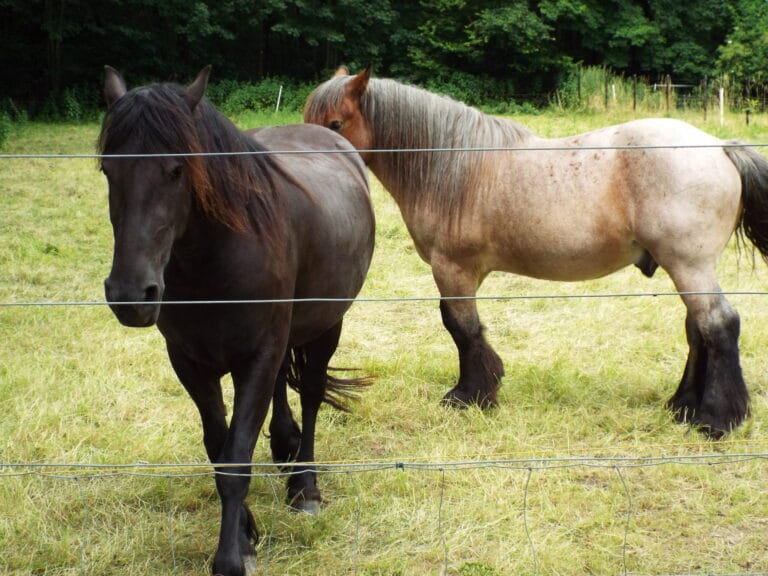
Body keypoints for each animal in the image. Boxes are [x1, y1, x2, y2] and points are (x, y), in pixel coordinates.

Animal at [99, 66, 375, 576]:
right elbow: (218, 447)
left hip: (328, 324)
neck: (216, 259)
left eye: (177, 170)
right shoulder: (189, 362)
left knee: (310, 393)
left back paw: (304, 485)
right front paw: (246, 533)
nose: (130, 295)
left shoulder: (256, 357)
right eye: (109, 169)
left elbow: (236, 457)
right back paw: (284, 447)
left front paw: (230, 556)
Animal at [305, 66, 768, 437]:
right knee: (697, 328)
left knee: (718, 325)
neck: (452, 165)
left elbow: (461, 329)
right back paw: (682, 406)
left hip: (689, 265)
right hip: (685, 267)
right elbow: (465, 329)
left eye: (336, 122)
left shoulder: (452, 268)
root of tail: (720, 147)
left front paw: (469, 395)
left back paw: (716, 418)